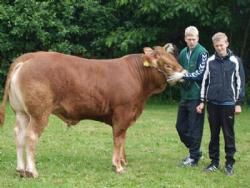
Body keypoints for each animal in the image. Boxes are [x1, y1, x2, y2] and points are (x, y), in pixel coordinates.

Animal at [0, 44, 186, 178]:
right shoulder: (122, 112)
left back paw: (21, 170)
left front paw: (122, 162)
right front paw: (118, 166)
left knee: (19, 134)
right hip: (39, 113)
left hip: (21, 112)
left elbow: (123, 139)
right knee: (31, 136)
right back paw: (32, 171)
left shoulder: (125, 117)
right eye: (167, 65)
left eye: (174, 59)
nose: (184, 74)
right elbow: (118, 139)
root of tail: (28, 57)